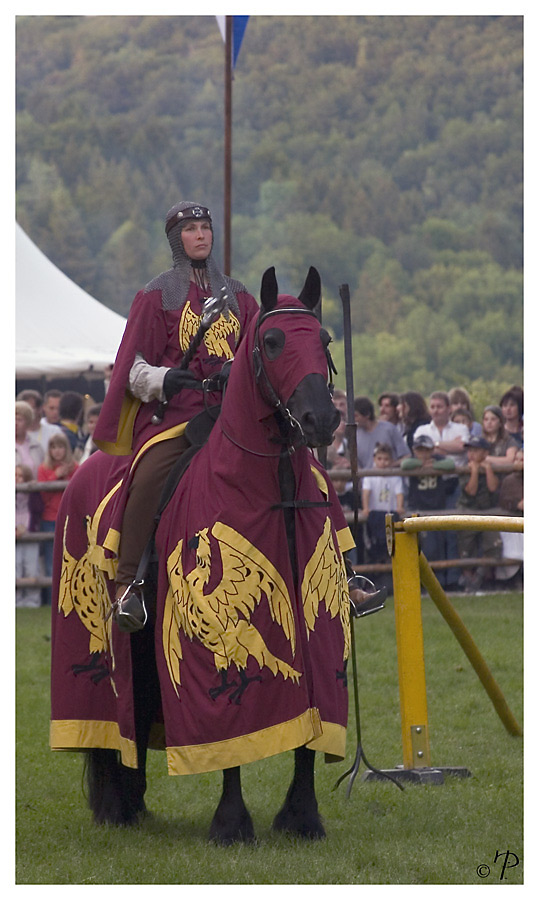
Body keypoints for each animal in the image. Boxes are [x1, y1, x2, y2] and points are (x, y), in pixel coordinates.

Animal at [49, 268, 354, 844]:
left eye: (324, 340)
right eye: (272, 341)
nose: (321, 419)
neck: (269, 489)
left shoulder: (315, 632)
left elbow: (310, 722)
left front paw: (302, 816)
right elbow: (224, 734)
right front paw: (231, 823)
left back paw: (134, 799)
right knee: (115, 716)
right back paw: (117, 804)